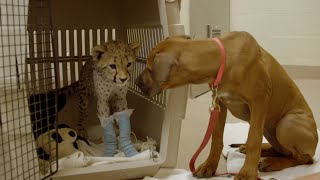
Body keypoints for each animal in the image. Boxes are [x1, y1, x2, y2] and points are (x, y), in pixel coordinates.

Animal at [136, 31, 318, 179]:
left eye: (150, 69)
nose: (136, 82)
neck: (224, 61)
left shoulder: (259, 102)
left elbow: (253, 139)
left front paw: (247, 174)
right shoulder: (219, 104)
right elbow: (216, 139)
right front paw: (209, 166)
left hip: (286, 124)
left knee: (304, 159)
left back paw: (273, 163)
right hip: (269, 128)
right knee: (284, 151)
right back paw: (263, 152)